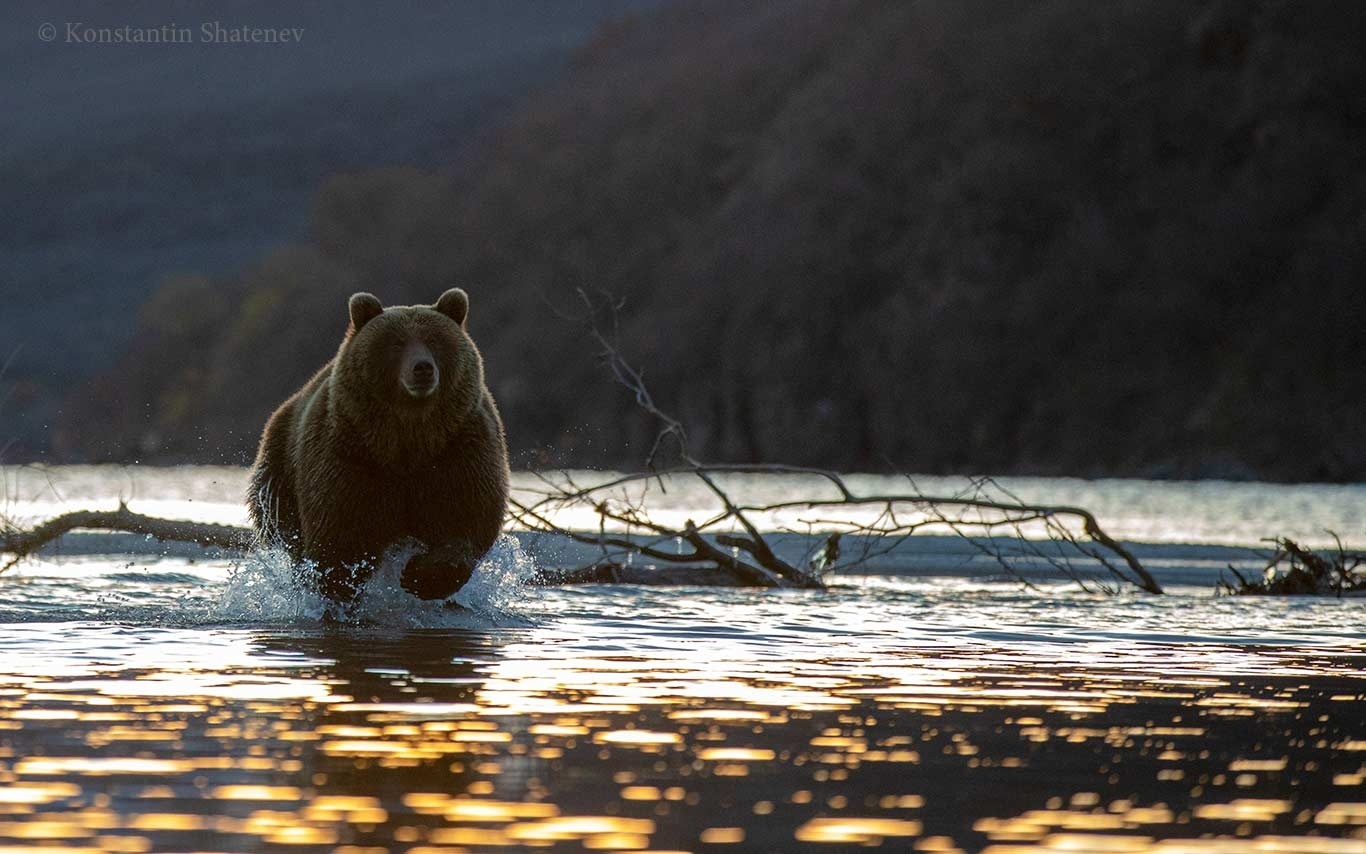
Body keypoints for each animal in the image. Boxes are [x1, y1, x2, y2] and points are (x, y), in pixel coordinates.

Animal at [248, 289, 510, 603]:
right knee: (286, 530)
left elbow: (463, 517)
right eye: (396, 343)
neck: (408, 439)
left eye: (434, 340)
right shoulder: (352, 455)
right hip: (279, 472)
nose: (422, 368)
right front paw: (338, 589)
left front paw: (420, 576)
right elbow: (341, 534)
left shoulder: (457, 447)